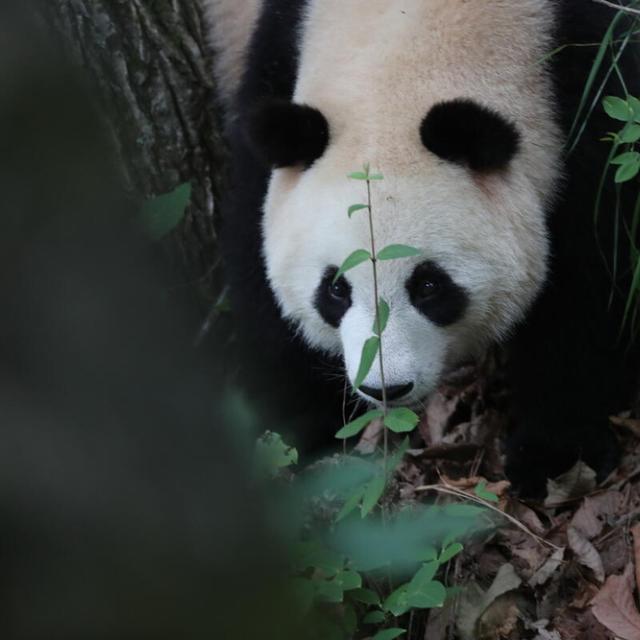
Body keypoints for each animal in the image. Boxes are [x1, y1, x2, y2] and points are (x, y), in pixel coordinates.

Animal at [204, 0, 640, 496]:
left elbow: (593, 276)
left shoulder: (592, 79)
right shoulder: (277, 54)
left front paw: (555, 454)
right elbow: (255, 259)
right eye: (335, 289)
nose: (385, 389)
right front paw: (290, 434)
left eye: (429, 286)